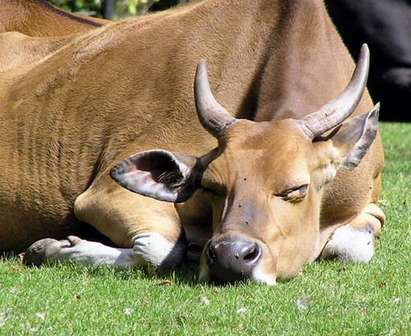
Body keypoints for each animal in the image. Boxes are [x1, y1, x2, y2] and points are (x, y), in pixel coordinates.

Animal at [0, 0, 386, 284]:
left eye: (296, 189)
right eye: (212, 187)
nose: (231, 256)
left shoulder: (369, 208)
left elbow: (353, 247)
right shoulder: (104, 195)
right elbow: (159, 250)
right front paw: (51, 247)